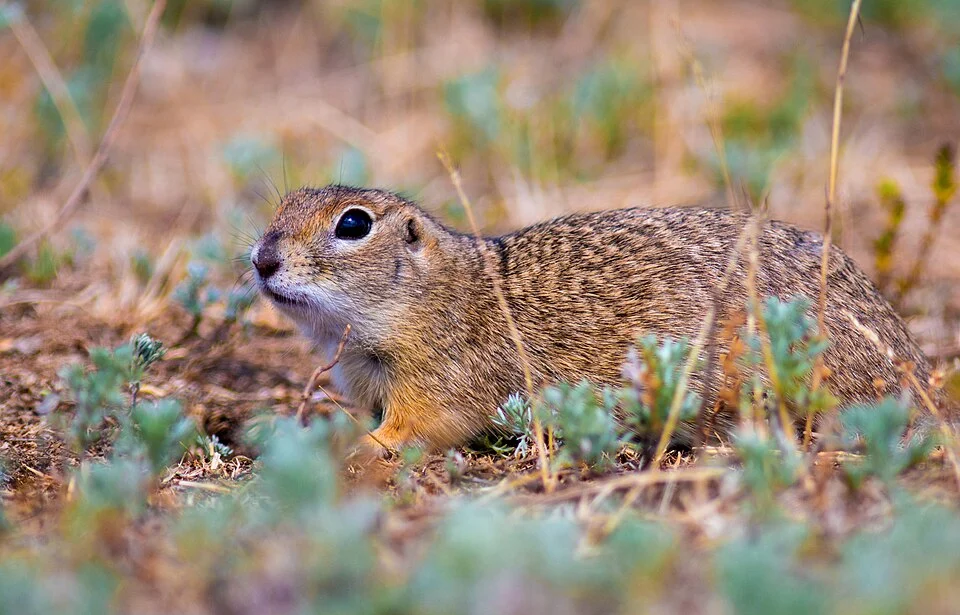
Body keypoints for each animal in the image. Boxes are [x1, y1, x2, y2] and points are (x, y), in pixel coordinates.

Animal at [251, 185, 935, 454]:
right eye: (281, 208)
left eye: (353, 224)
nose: (261, 259)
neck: (432, 294)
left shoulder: (440, 380)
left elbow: (415, 429)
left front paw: (353, 449)